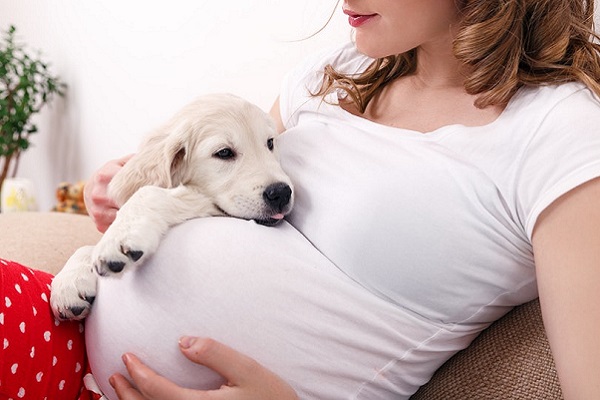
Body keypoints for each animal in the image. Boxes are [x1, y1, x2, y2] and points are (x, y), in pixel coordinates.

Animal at [50, 92, 294, 320]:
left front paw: (118, 239)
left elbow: (147, 193)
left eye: (270, 143)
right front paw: (69, 282)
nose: (282, 193)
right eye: (224, 152)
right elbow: (86, 246)